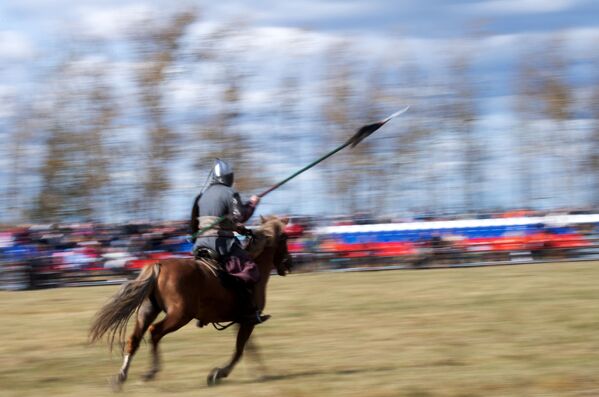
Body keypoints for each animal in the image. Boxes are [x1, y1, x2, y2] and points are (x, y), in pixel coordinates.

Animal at [89, 215, 292, 388]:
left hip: (147, 311)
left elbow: (248, 348)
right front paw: (219, 374)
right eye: (285, 237)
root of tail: (158, 265)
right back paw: (151, 371)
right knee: (155, 332)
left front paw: (258, 372)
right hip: (180, 315)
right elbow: (240, 350)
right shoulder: (248, 321)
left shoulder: (241, 320)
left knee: (134, 339)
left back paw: (120, 377)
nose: (288, 263)